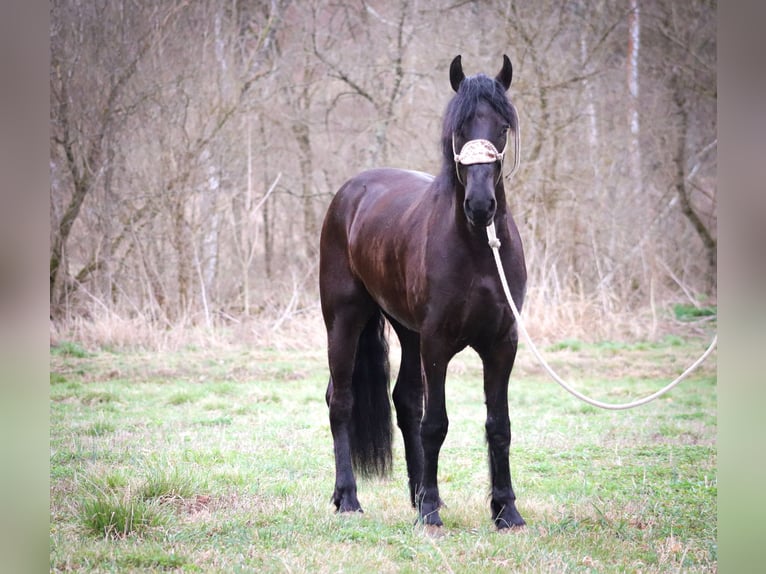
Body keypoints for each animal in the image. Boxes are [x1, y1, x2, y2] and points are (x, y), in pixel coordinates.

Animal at [318, 55, 528, 532]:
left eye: (502, 127)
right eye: (459, 127)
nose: (480, 206)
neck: (477, 249)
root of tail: (350, 192)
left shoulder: (502, 344)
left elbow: (499, 425)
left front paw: (506, 511)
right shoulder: (438, 343)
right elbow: (437, 424)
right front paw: (430, 512)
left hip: (406, 330)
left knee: (406, 402)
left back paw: (413, 496)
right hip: (344, 320)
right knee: (341, 401)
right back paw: (349, 498)